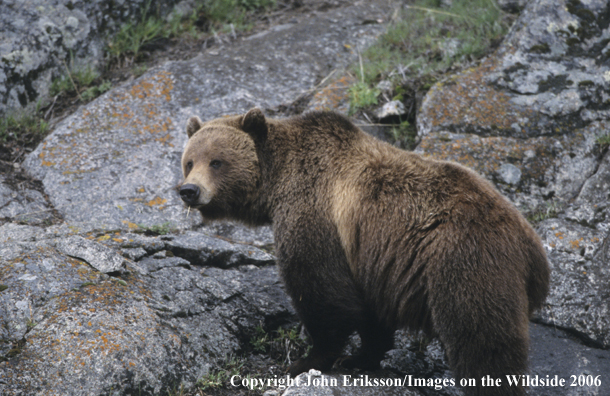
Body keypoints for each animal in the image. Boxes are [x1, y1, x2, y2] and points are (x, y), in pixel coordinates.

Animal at [178, 108, 548, 396]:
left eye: (217, 161)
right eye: (189, 161)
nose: (189, 190)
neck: (277, 182)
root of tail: (534, 252)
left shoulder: (314, 213)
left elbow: (321, 292)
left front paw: (305, 361)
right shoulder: (370, 260)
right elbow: (369, 310)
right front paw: (358, 357)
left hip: (466, 262)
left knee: (483, 340)